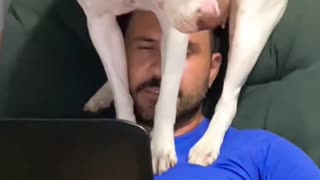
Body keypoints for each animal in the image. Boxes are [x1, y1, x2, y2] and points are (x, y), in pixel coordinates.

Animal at [77, 0, 288, 175]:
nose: (211, 15)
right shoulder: (99, 21)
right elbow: (120, 89)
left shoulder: (175, 28)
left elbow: (167, 94)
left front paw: (160, 148)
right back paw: (103, 94)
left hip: (248, 32)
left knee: (228, 98)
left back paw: (207, 145)